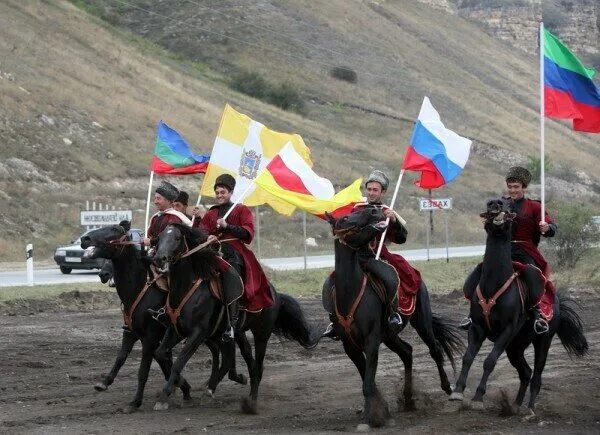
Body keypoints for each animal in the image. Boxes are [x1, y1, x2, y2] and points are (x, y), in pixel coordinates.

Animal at [151, 223, 318, 414]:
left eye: (177, 238)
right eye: (160, 237)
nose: (159, 258)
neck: (187, 287)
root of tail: (275, 294)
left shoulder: (198, 333)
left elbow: (179, 362)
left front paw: (164, 397)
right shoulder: (176, 330)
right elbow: (160, 353)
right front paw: (180, 386)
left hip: (261, 334)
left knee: (257, 365)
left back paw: (251, 401)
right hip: (234, 333)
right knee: (237, 359)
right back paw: (213, 388)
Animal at [326, 208, 462, 430]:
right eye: (345, 217)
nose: (374, 211)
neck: (350, 292)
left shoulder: (371, 342)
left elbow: (368, 383)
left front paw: (370, 419)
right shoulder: (350, 346)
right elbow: (367, 379)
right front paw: (380, 410)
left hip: (421, 322)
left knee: (435, 350)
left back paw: (448, 388)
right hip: (389, 336)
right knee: (407, 352)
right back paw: (408, 399)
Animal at [450, 199, 584, 418]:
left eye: (509, 208)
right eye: (492, 203)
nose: (494, 203)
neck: (494, 284)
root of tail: (557, 303)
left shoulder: (507, 330)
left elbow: (489, 361)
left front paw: (478, 397)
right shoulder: (477, 328)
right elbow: (468, 357)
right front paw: (457, 392)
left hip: (542, 342)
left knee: (536, 375)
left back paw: (529, 409)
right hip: (515, 347)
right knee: (525, 373)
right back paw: (515, 405)